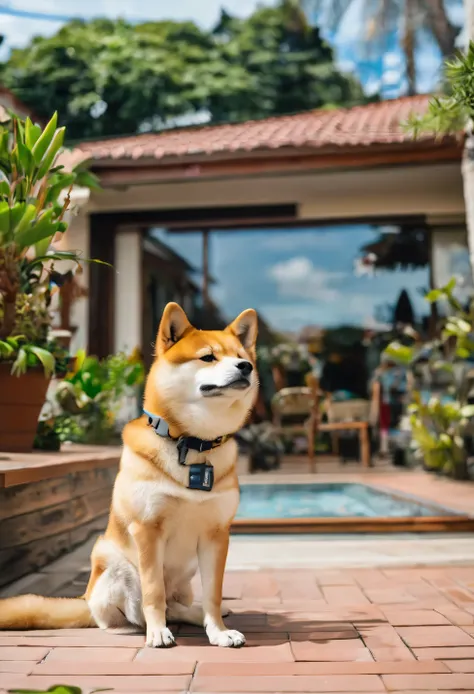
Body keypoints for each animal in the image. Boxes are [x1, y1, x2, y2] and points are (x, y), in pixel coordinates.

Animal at [0, 304, 260, 652]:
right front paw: (158, 632)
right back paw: (139, 627)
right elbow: (153, 592)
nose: (245, 367)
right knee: (124, 616)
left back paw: (195, 615)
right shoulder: (147, 529)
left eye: (241, 356)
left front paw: (218, 631)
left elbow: (213, 595)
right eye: (208, 357)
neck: (194, 443)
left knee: (179, 604)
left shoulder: (216, 534)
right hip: (112, 561)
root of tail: (85, 598)